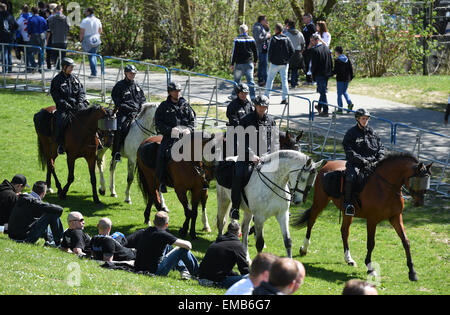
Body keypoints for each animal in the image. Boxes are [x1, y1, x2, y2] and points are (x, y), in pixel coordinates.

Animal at [292, 152, 432, 282]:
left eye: (427, 180)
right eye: (418, 180)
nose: (420, 202)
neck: (386, 187)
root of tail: (328, 164)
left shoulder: (395, 217)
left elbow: (405, 241)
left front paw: (412, 272)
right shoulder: (372, 220)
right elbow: (371, 243)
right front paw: (370, 269)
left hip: (347, 212)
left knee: (344, 231)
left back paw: (349, 259)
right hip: (320, 202)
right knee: (311, 221)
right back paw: (304, 248)